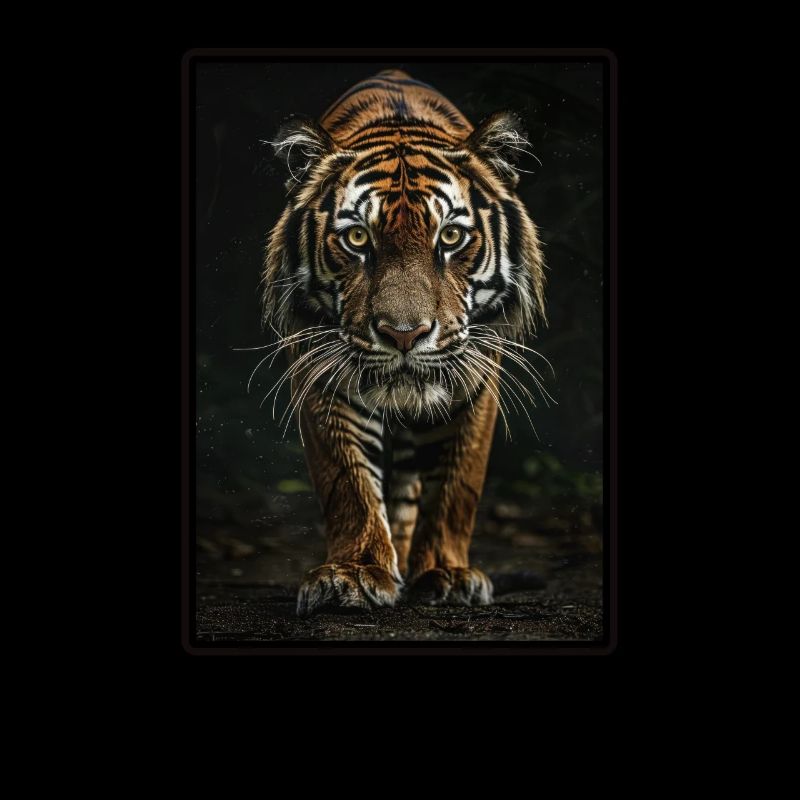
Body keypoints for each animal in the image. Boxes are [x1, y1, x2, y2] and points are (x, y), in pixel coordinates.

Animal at [260, 69, 547, 618]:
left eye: (451, 237)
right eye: (356, 239)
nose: (404, 333)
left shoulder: (478, 372)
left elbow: (456, 484)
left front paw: (447, 574)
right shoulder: (321, 367)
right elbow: (347, 478)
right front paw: (353, 574)